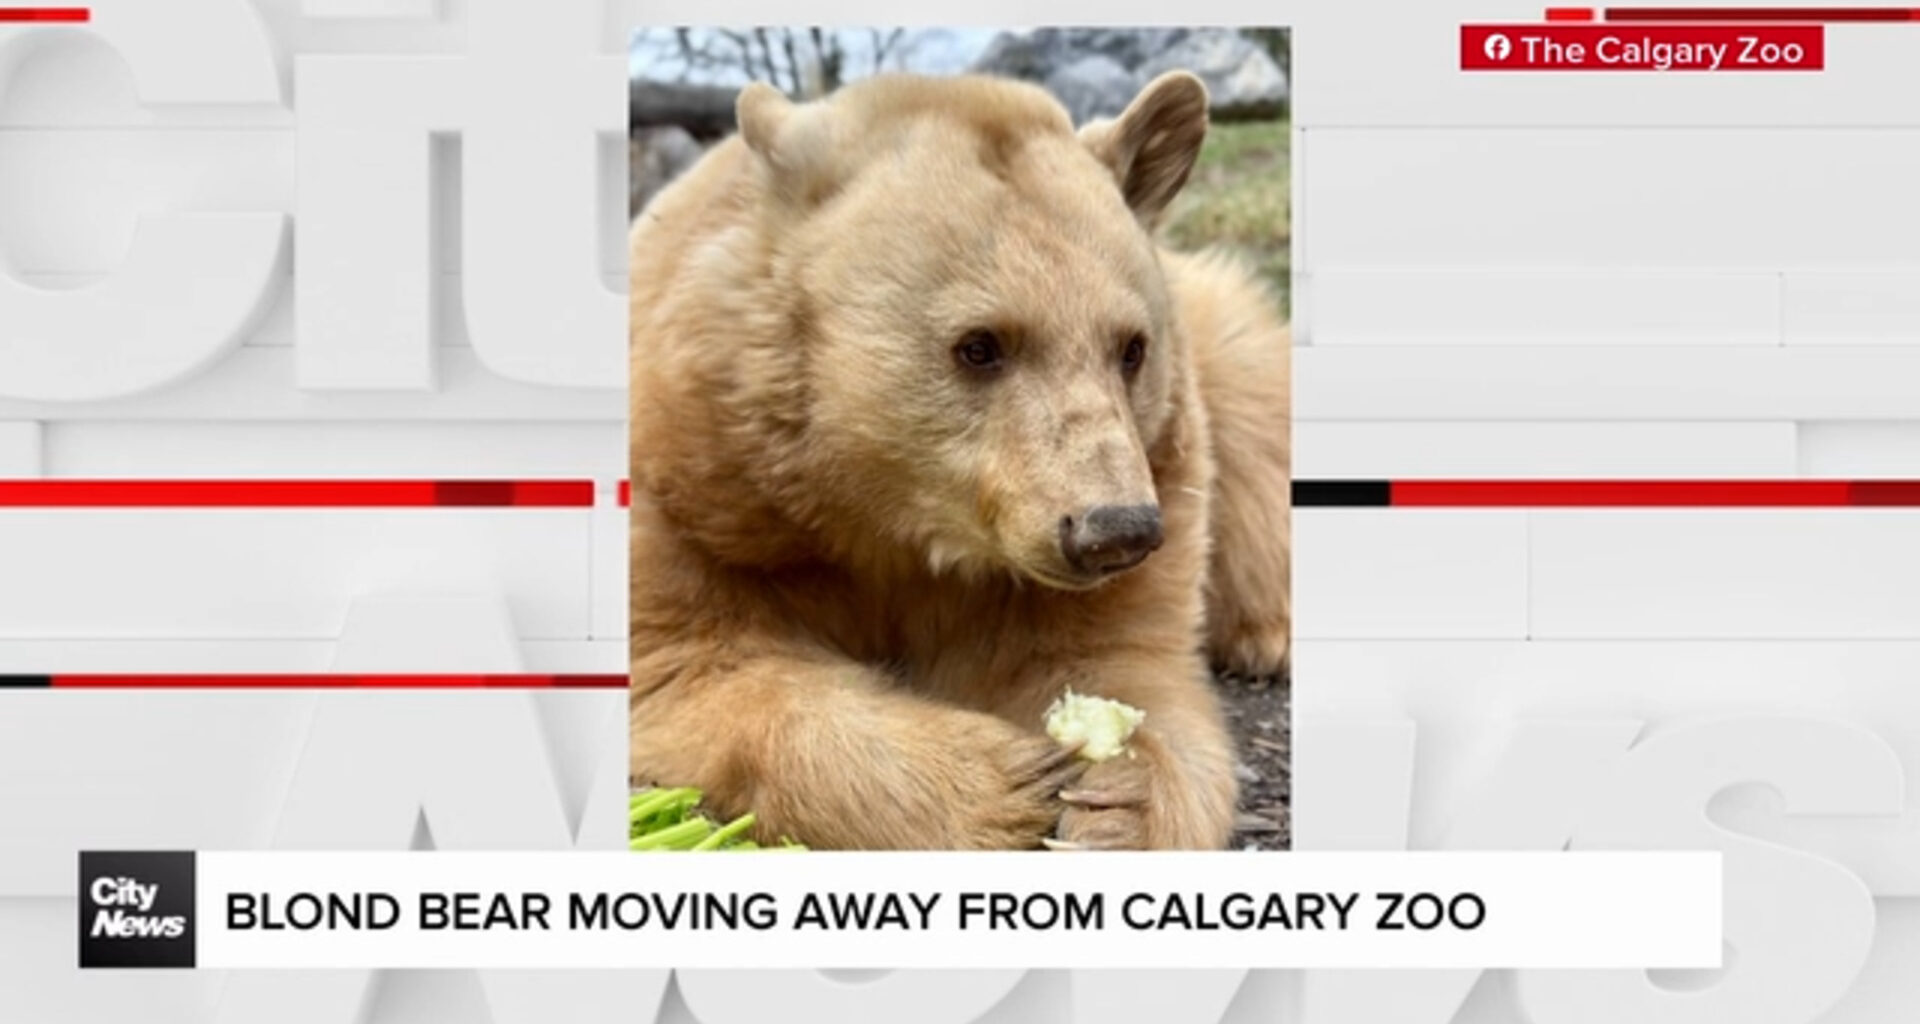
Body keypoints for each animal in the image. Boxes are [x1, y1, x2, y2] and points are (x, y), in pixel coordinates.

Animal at [627, 69, 1291, 851]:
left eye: (1132, 348)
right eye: (979, 345)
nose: (1115, 530)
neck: (887, 516)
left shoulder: (1153, 473)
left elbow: (1114, 662)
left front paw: (1114, 796)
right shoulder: (694, 490)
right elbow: (690, 664)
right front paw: (1005, 784)